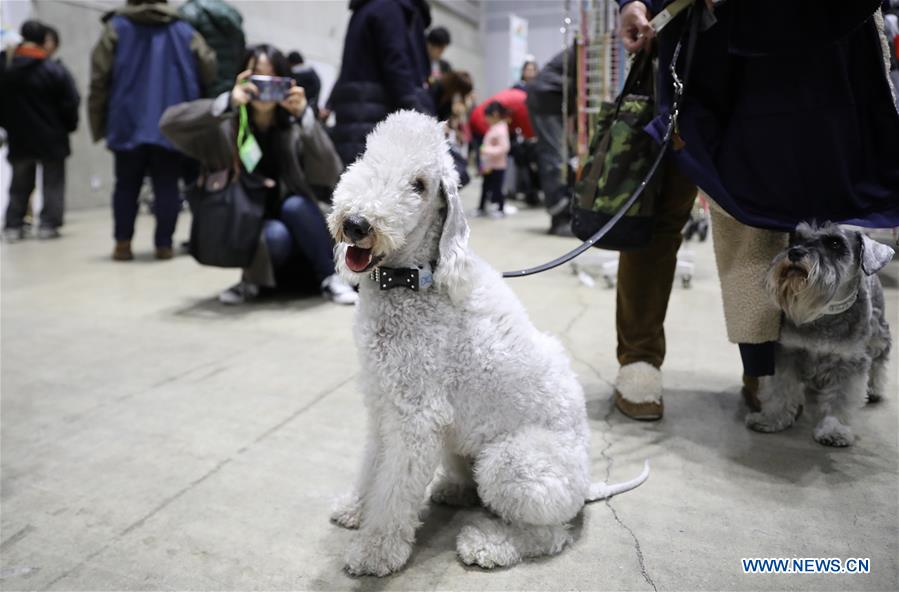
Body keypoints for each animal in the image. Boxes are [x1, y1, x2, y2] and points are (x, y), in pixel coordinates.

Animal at [326, 108, 652, 576]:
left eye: (419, 185)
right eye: (367, 155)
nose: (356, 224)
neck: (416, 280)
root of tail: (586, 485)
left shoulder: (416, 417)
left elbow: (393, 490)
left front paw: (375, 551)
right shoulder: (382, 402)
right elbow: (373, 464)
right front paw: (355, 509)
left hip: (510, 463)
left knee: (549, 535)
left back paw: (488, 544)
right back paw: (454, 490)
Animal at [748, 222, 896, 444]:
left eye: (835, 243)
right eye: (796, 238)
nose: (795, 252)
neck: (824, 312)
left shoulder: (849, 363)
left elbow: (841, 399)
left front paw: (833, 429)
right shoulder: (787, 353)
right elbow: (779, 389)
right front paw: (771, 419)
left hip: (879, 336)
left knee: (879, 362)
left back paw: (874, 389)